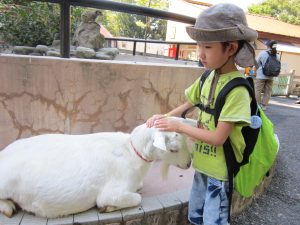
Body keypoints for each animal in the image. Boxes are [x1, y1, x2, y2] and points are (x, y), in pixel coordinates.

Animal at [0, 118, 195, 219]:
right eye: (173, 149)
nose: (188, 164)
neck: (131, 151)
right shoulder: (113, 192)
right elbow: (136, 198)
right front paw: (106, 208)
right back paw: (8, 208)